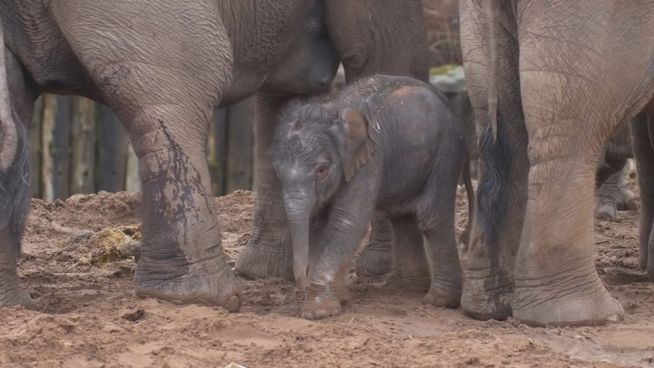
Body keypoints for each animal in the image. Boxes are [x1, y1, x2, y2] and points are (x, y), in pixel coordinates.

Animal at [272, 75, 472, 320]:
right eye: (277, 171)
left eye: (322, 170)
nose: (301, 284)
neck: (331, 108)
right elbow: (317, 224)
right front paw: (339, 299)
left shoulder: (369, 161)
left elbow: (347, 221)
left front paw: (318, 311)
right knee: (402, 215)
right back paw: (405, 288)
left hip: (446, 152)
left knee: (431, 217)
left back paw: (439, 300)